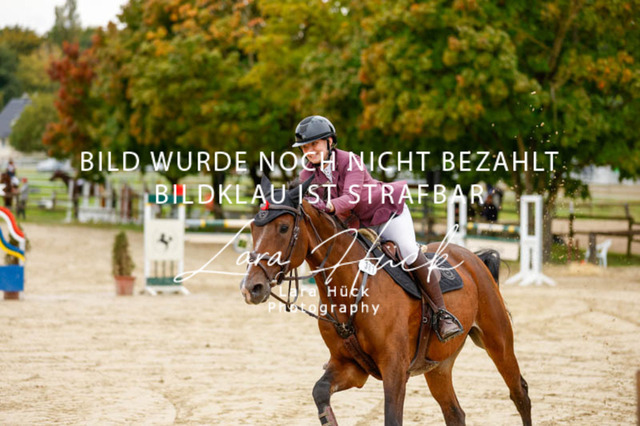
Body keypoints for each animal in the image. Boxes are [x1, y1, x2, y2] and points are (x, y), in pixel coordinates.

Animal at [240, 177, 531, 425]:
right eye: (253, 228)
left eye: (283, 227)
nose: (251, 288)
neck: (351, 290)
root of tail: (473, 257)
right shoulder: (350, 366)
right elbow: (320, 392)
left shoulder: (394, 370)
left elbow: (392, 417)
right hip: (439, 365)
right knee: (454, 413)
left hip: (497, 340)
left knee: (519, 393)